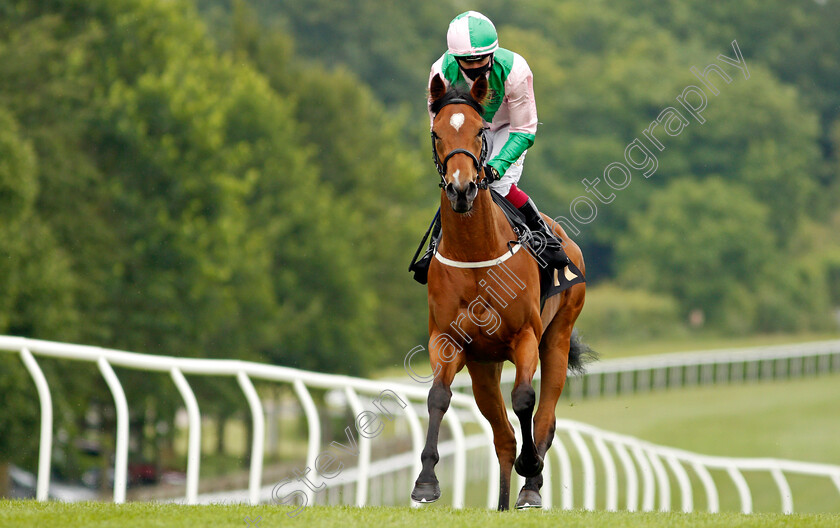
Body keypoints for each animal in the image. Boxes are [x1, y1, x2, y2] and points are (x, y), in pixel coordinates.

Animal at [412, 72, 584, 510]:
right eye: (437, 133)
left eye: (479, 130)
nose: (461, 189)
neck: (476, 252)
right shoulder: (448, 339)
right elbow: (438, 397)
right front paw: (426, 481)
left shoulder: (525, 335)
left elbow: (524, 398)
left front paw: (531, 467)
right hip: (483, 368)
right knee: (503, 437)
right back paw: (505, 500)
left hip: (557, 337)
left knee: (544, 419)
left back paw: (530, 486)